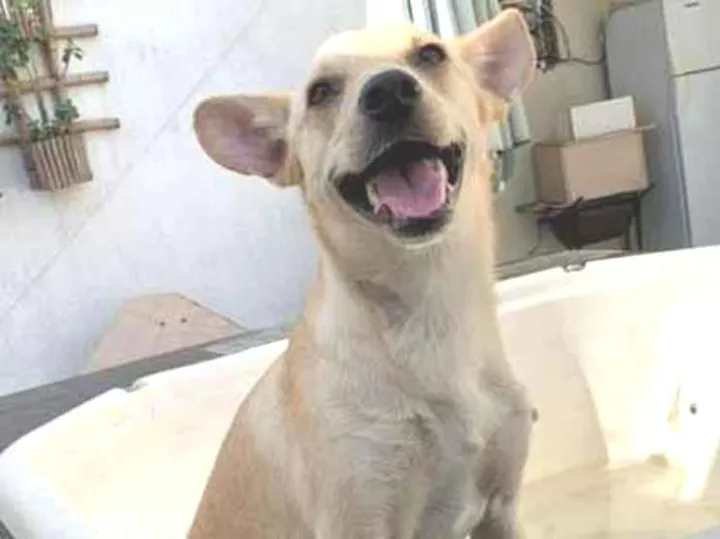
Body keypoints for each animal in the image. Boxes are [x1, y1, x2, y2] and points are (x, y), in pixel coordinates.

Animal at [189, 9, 535, 538]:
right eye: (321, 92)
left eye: (430, 54)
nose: (389, 91)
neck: (431, 310)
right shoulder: (359, 520)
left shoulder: (501, 509)